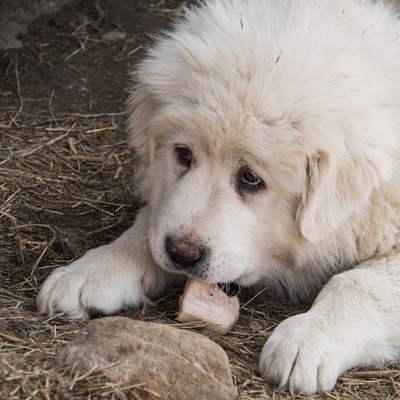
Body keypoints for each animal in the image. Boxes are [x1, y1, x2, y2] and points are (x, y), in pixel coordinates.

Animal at [36, 0, 400, 394]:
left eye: (251, 178)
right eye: (183, 154)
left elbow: (357, 284)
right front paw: (93, 270)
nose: (182, 253)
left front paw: (306, 339)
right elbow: (148, 225)